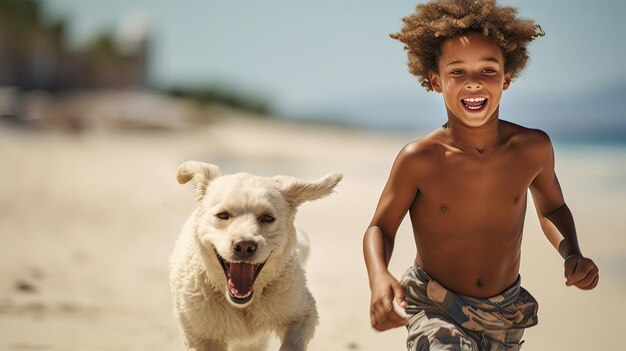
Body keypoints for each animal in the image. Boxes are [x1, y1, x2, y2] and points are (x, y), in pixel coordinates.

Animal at [168, 161, 342, 350]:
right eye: (223, 215)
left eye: (267, 218)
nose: (244, 246)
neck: (243, 306)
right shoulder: (199, 335)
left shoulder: (303, 311)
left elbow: (292, 342)